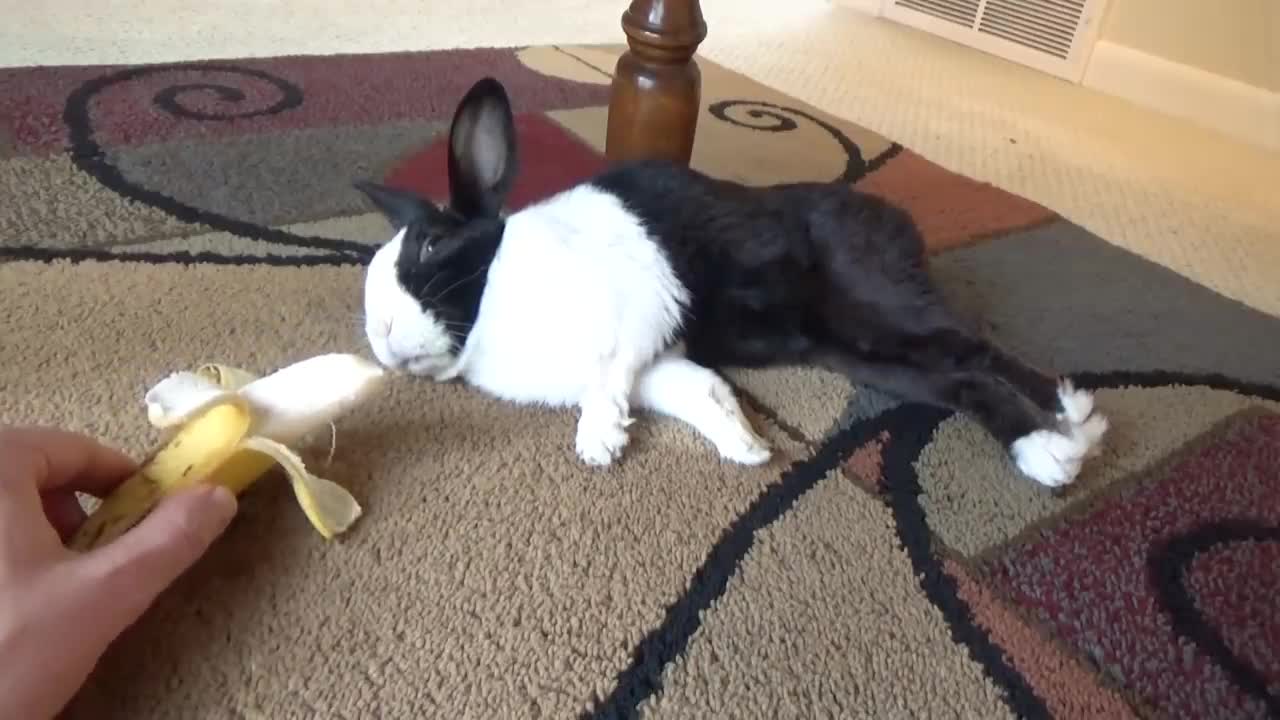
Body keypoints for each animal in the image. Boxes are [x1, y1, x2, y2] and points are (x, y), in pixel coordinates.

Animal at [353, 74, 1111, 486]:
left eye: (431, 244)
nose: (381, 337)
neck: (491, 301)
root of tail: (898, 222)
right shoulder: (660, 360)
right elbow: (696, 393)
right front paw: (747, 447)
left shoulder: (637, 316)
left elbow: (607, 375)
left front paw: (599, 441)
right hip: (858, 351)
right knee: (959, 381)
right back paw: (1048, 452)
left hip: (878, 301)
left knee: (977, 349)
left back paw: (1071, 417)